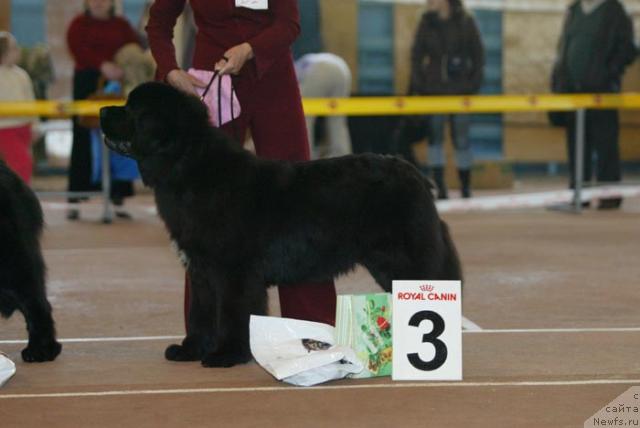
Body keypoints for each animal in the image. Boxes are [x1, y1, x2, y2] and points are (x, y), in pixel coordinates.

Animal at [99, 83, 460, 368]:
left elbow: (231, 313)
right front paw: (190, 350)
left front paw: (226, 355)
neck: (188, 166)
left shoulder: (234, 271)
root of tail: (416, 174)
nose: (102, 109)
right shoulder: (201, 269)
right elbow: (200, 313)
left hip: (403, 259)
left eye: (132, 110)